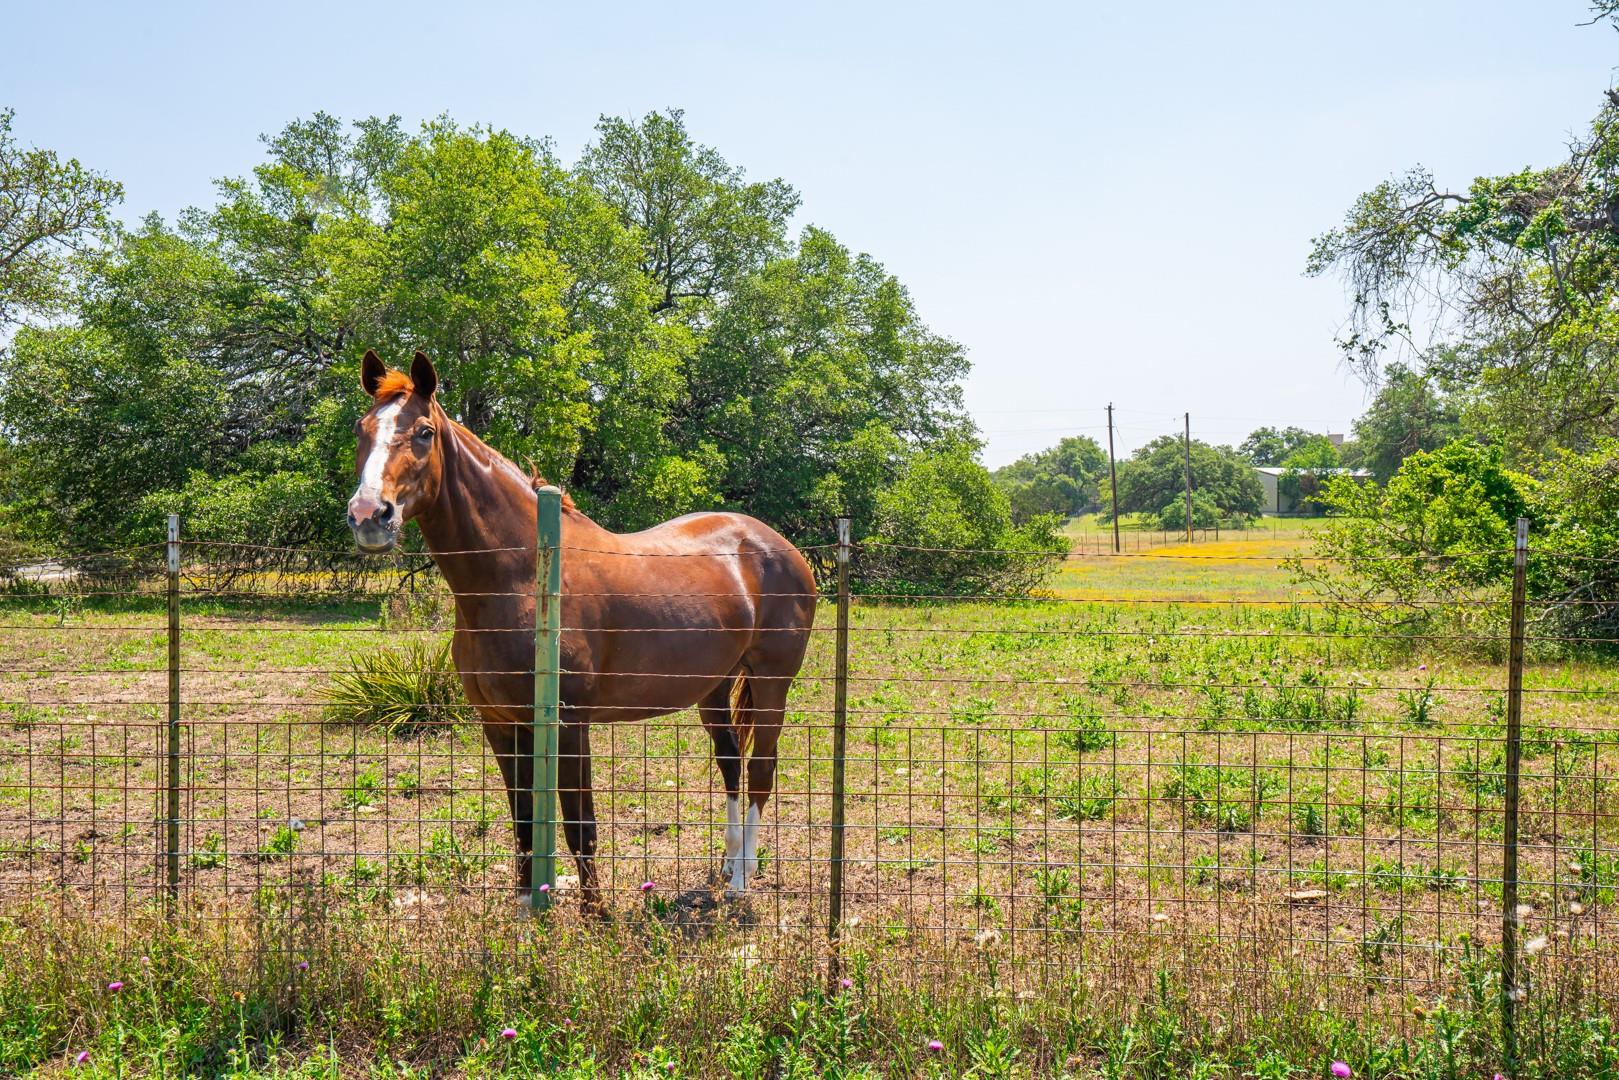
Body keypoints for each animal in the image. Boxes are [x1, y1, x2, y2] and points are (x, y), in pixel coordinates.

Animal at [346, 348, 815, 906]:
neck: (523, 575)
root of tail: (778, 545)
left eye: (423, 432)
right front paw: (527, 907)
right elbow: (524, 822)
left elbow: (579, 825)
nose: (369, 515)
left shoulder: (570, 725)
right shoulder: (502, 725)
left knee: (761, 770)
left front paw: (596, 915)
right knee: (731, 766)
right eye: (360, 428)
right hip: (716, 688)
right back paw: (727, 866)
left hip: (771, 684)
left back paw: (742, 882)